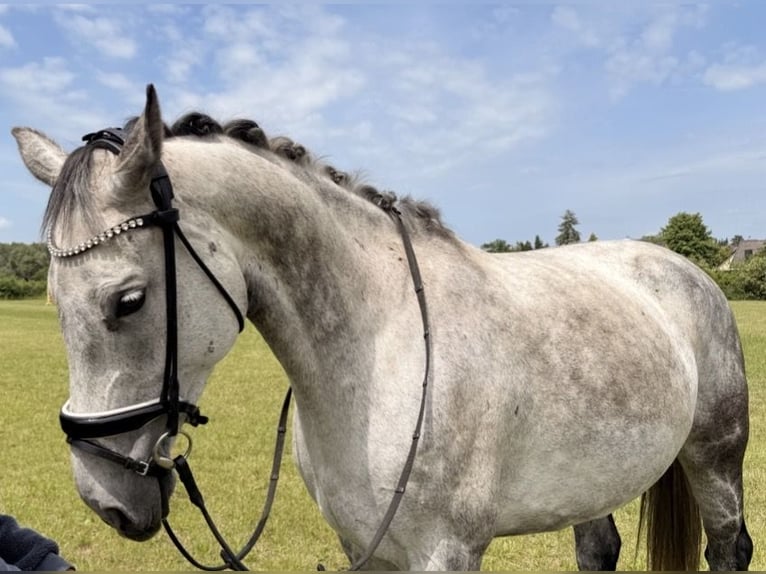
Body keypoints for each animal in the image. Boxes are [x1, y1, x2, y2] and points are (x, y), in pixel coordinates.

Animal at [12, 84, 753, 571]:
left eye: (129, 301)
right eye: (52, 298)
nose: (105, 499)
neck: (377, 350)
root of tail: (681, 268)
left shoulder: (445, 551)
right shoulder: (364, 546)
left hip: (714, 459)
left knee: (729, 547)